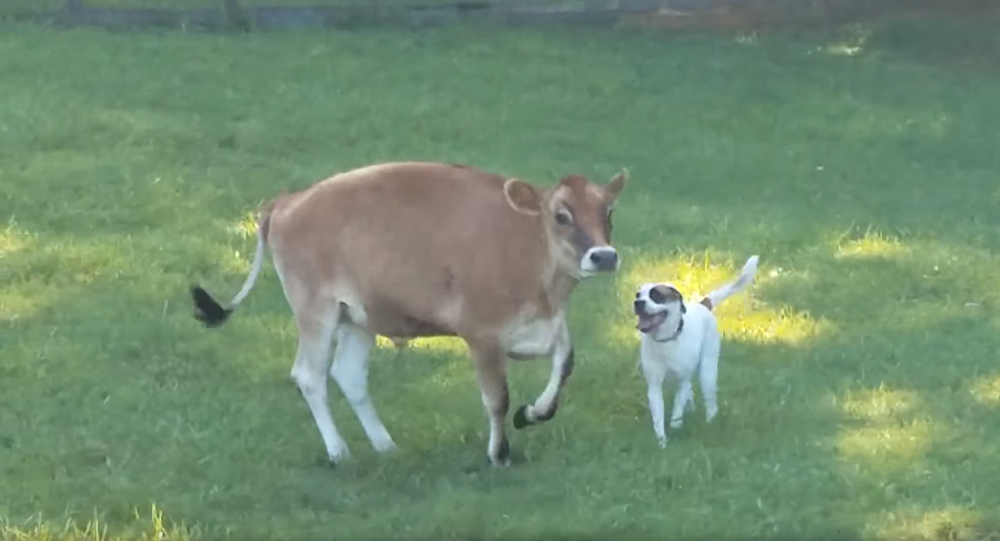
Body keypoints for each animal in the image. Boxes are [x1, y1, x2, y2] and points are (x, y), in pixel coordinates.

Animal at [191, 159, 628, 464]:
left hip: (358, 318)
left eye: (608, 212)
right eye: (561, 215)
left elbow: (564, 364)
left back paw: (385, 445)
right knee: (310, 376)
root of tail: (288, 200)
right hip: (315, 310)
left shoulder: (548, 325)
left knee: (349, 375)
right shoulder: (482, 333)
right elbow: (497, 397)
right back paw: (339, 452)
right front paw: (499, 453)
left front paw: (532, 413)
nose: (604, 256)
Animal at [632, 253, 756, 448]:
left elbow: (678, 405)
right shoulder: (654, 386)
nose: (638, 303)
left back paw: (710, 420)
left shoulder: (683, 380)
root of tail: (703, 305)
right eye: (638, 295)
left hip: (708, 370)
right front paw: (662, 441)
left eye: (656, 295)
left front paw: (676, 425)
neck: (667, 341)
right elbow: (658, 416)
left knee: (710, 399)